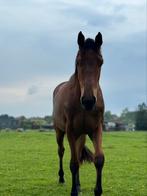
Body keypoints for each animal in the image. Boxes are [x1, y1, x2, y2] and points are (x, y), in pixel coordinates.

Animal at [52, 31, 104, 195]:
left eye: (100, 62)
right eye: (79, 61)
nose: (88, 100)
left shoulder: (96, 129)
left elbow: (99, 159)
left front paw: (97, 190)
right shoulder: (70, 131)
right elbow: (73, 163)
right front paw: (73, 191)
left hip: (81, 135)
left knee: (79, 153)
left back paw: (79, 184)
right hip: (59, 131)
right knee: (61, 151)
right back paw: (62, 178)